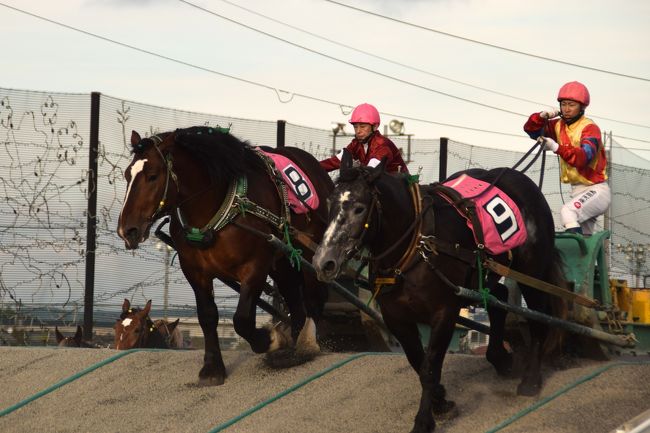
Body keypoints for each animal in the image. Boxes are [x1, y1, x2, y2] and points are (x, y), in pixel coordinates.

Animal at [116, 125, 332, 384]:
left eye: (152, 175)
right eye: (127, 175)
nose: (127, 230)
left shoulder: (255, 266)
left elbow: (242, 319)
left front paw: (271, 339)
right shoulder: (194, 270)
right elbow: (208, 316)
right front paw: (212, 367)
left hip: (311, 253)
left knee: (314, 298)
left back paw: (308, 343)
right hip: (283, 261)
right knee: (296, 301)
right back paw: (295, 348)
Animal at [312, 153, 564, 432]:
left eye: (358, 208)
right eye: (330, 203)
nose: (324, 261)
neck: (416, 245)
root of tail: (522, 180)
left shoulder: (444, 312)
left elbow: (429, 368)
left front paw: (424, 419)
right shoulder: (396, 317)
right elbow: (417, 361)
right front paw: (440, 399)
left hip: (532, 271)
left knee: (539, 317)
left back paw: (531, 379)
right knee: (498, 297)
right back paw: (499, 357)